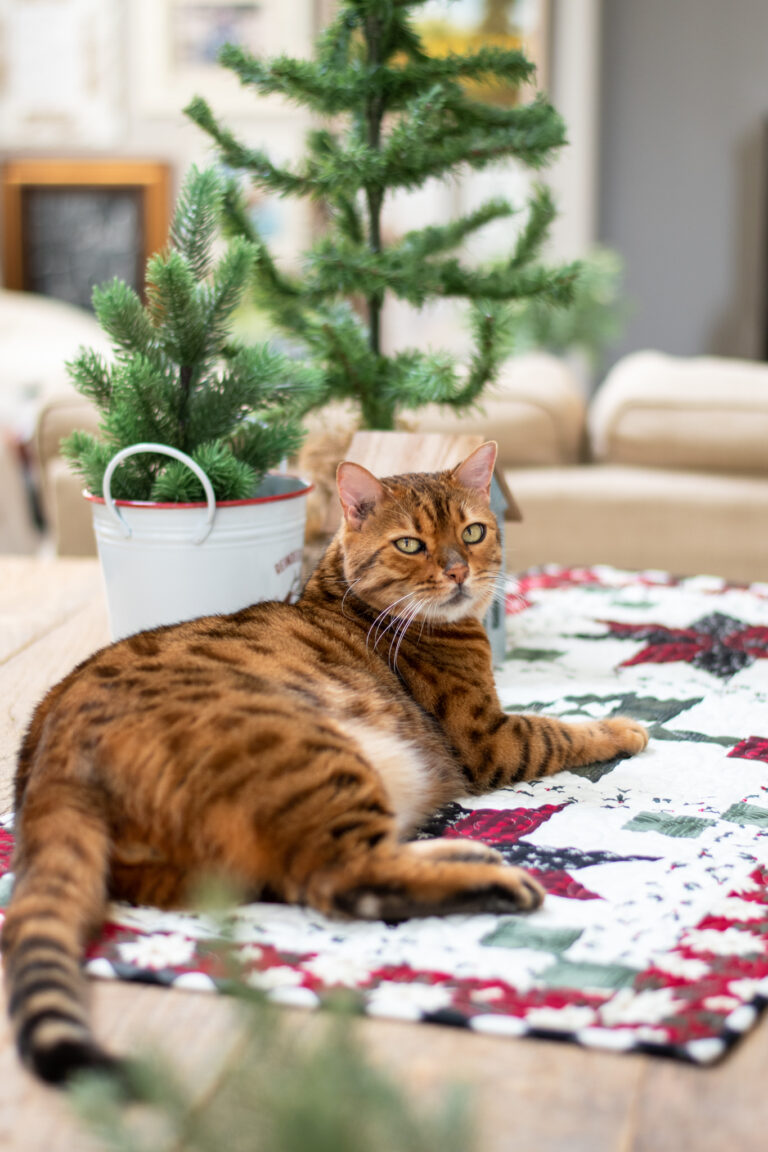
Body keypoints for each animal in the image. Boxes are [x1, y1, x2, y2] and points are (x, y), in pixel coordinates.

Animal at [3, 440, 644, 1078]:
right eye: (410, 544)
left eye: (473, 531)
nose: (459, 570)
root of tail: (52, 755)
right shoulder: (488, 737)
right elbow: (555, 730)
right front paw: (623, 727)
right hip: (318, 753)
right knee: (343, 878)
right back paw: (500, 882)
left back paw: (466, 853)